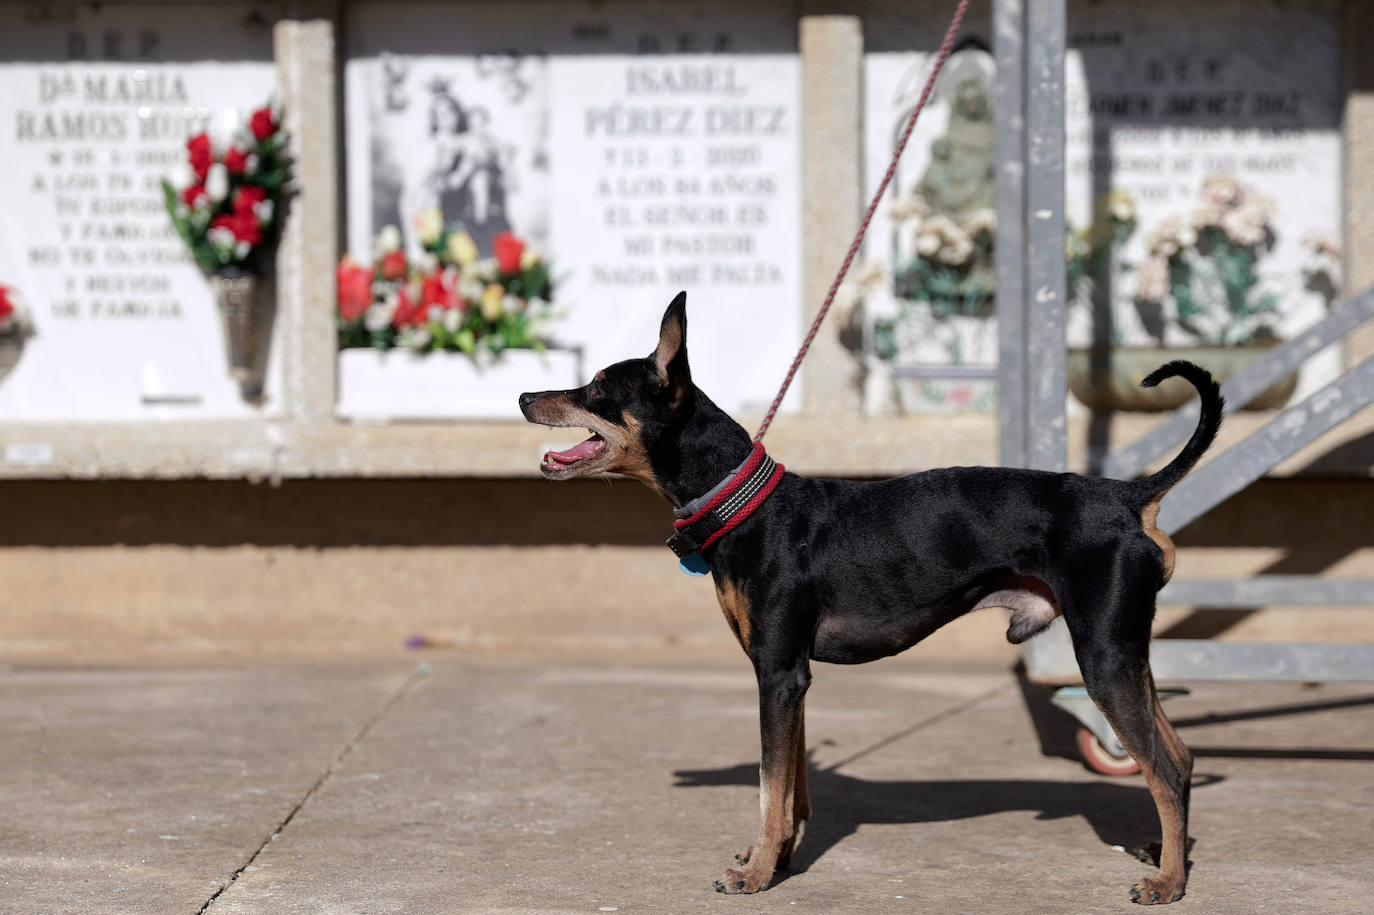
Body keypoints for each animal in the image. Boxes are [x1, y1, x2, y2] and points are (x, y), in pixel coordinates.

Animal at [519, 292, 1220, 895]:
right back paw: (1165, 853)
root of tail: (1129, 497)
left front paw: (756, 874)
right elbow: (792, 787)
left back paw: (1169, 884)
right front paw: (778, 856)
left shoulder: (778, 674)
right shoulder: (791, 678)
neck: (745, 504)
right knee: (1180, 758)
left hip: (1102, 658)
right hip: (1126, 653)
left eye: (596, 390)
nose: (525, 394)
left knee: (1163, 767)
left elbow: (769, 785)